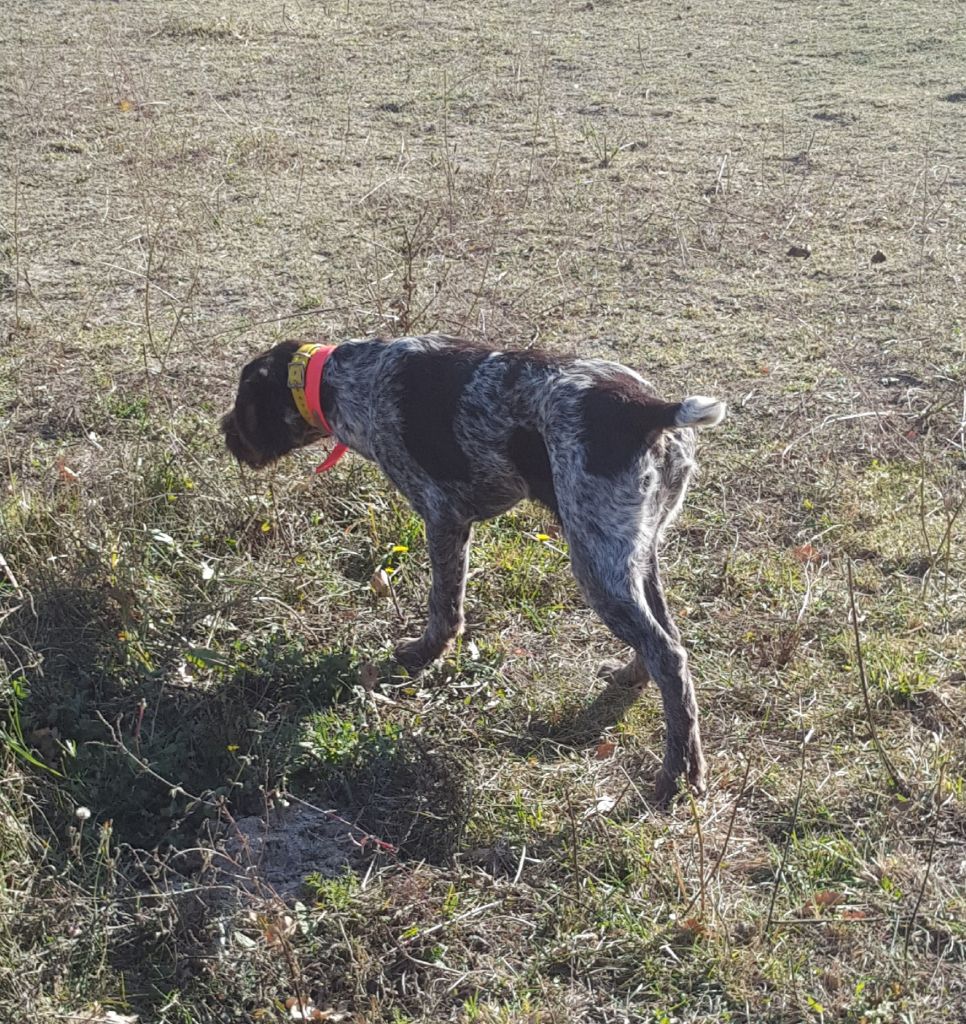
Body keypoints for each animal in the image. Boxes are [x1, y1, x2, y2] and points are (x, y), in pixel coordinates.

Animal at [223, 333, 725, 798]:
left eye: (242, 401)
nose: (224, 432)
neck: (343, 379)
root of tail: (646, 408)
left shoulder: (443, 517)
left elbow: (443, 606)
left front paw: (424, 654)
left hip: (595, 560)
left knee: (669, 655)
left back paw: (678, 774)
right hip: (634, 552)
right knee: (666, 639)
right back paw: (634, 682)